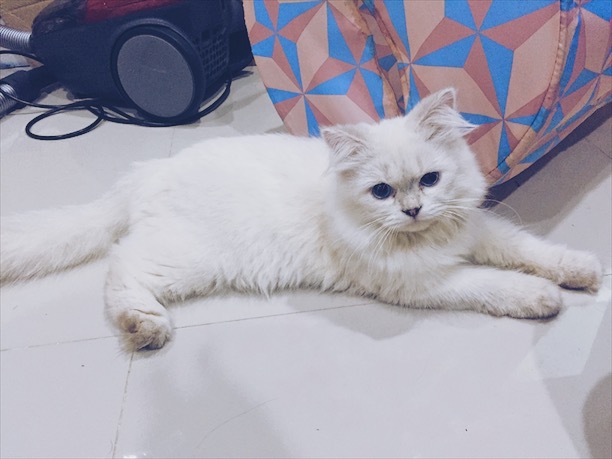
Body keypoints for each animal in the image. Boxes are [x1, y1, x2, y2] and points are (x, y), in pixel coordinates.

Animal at [0, 88, 602, 350]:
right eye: (381, 192)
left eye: (430, 181)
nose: (412, 210)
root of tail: (146, 170)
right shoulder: (424, 281)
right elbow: (496, 283)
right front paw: (543, 298)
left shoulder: (480, 228)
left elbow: (533, 251)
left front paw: (583, 271)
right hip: (186, 259)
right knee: (122, 264)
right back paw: (144, 328)